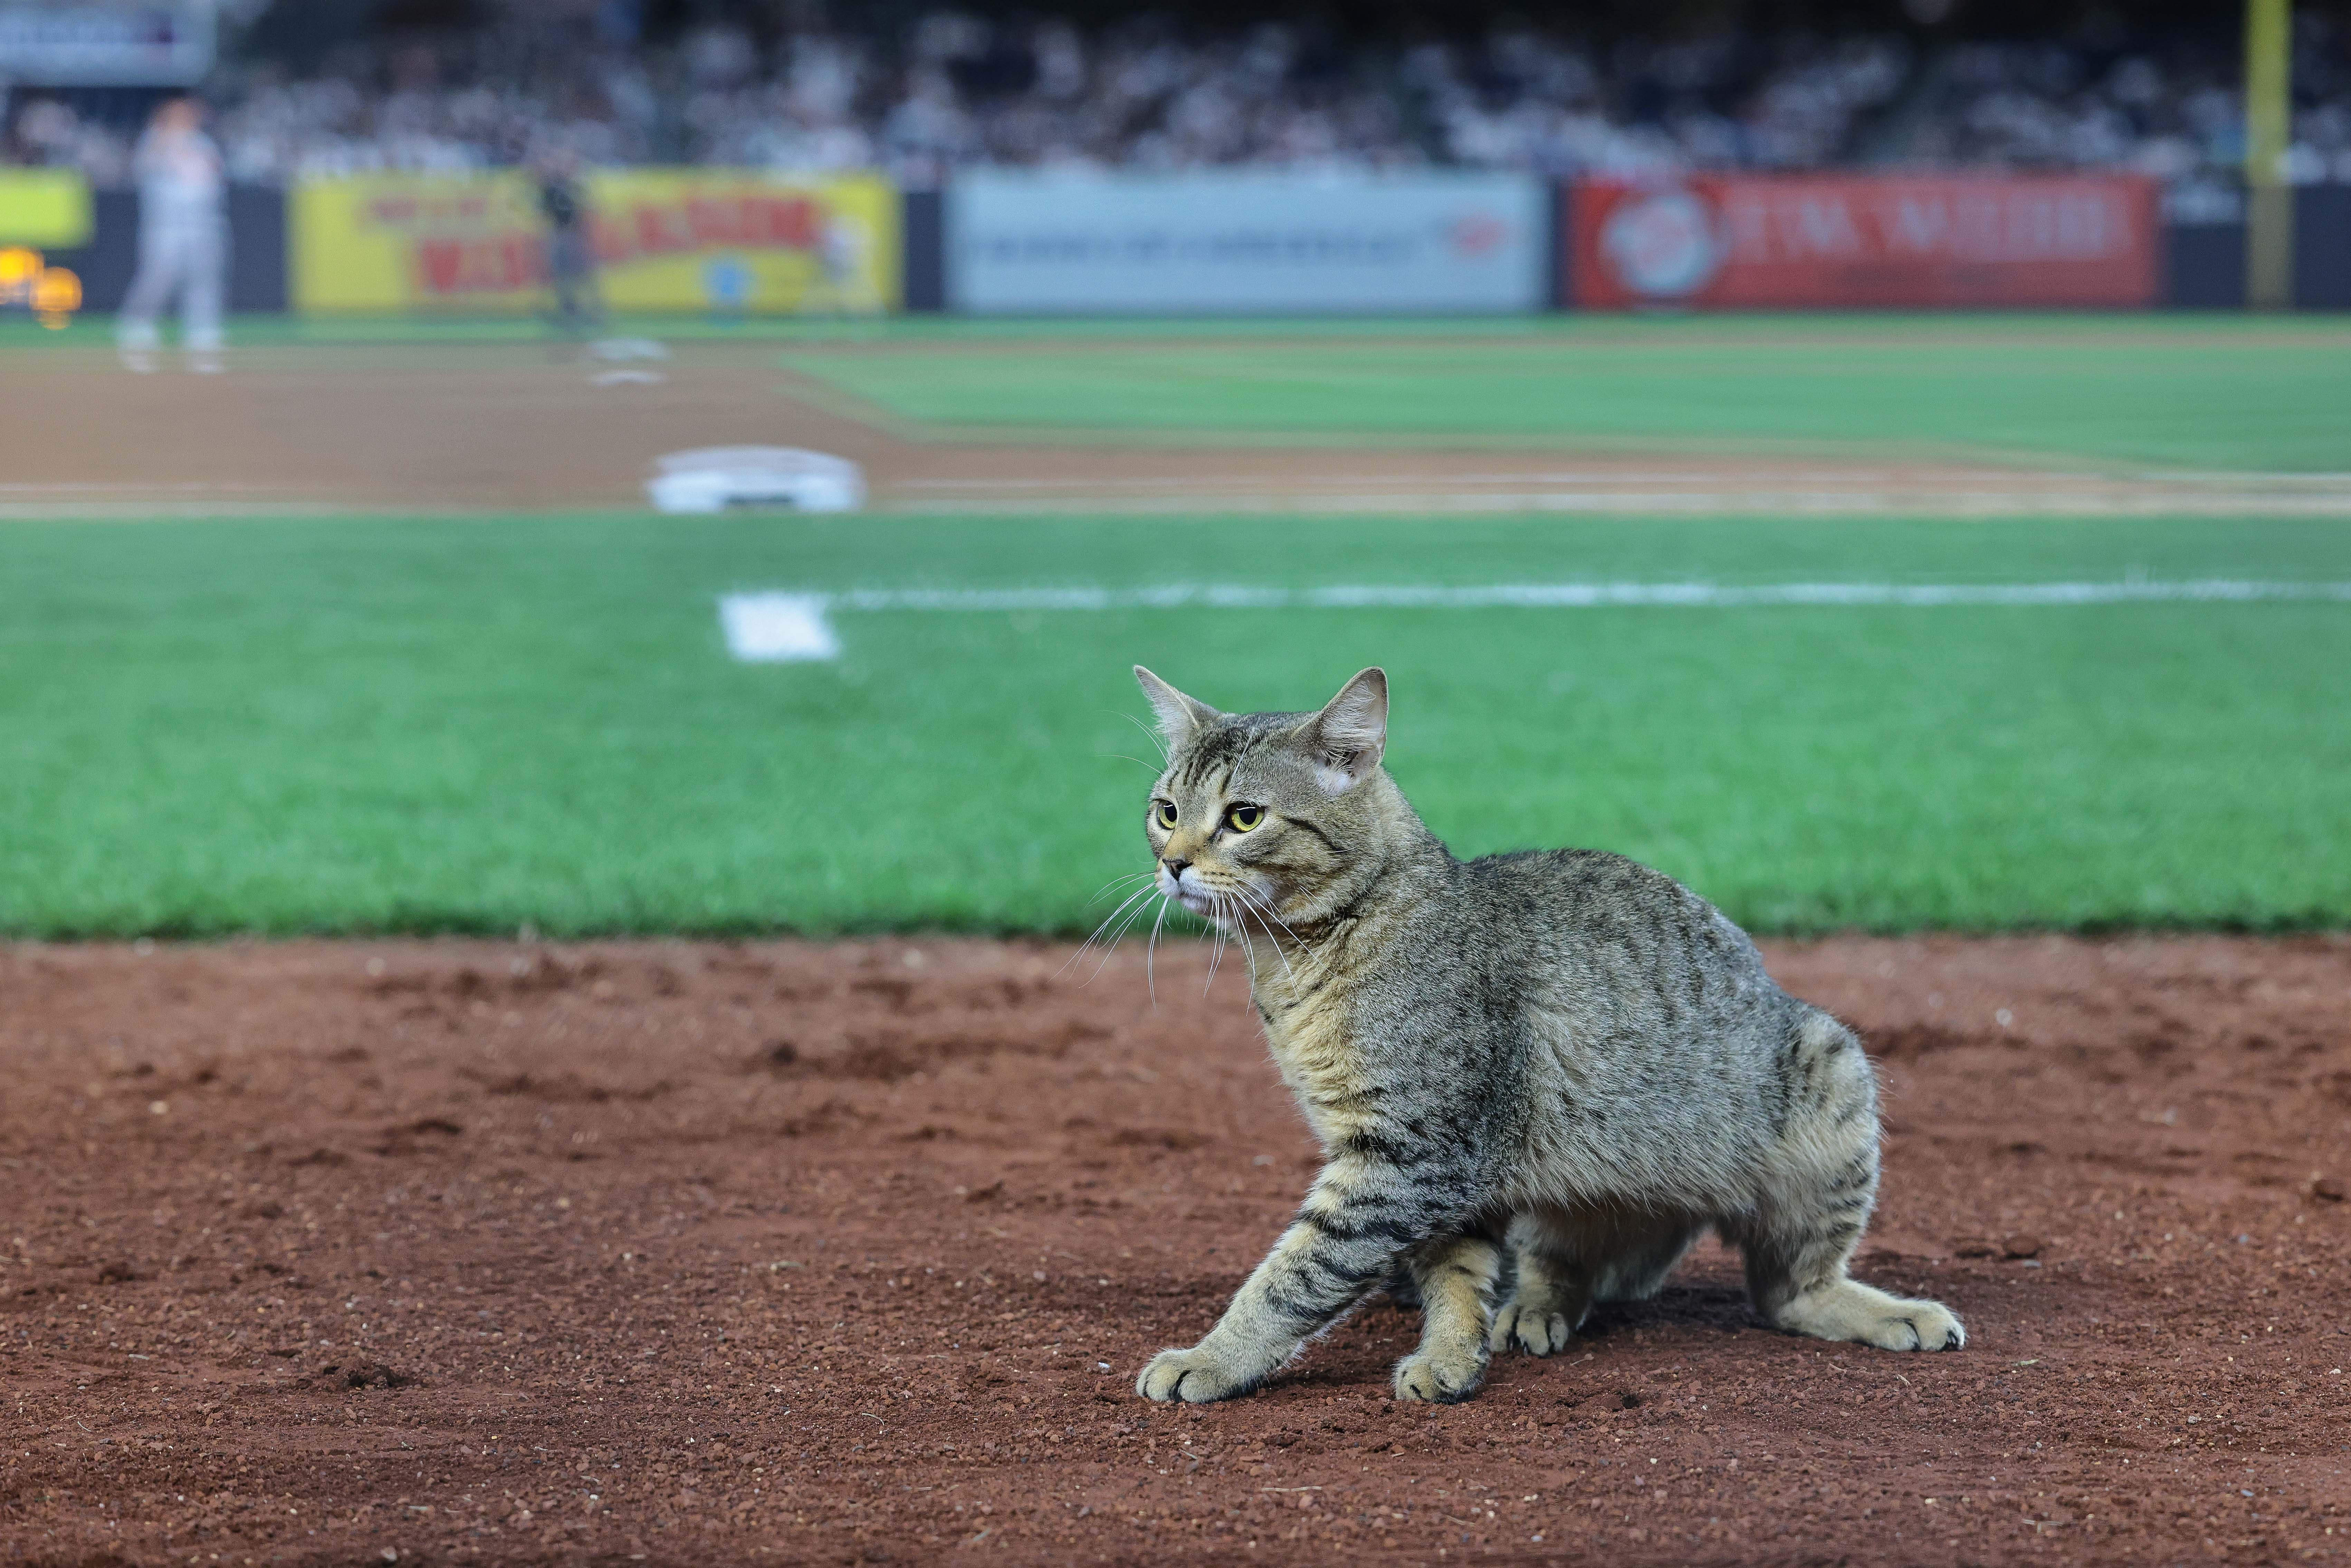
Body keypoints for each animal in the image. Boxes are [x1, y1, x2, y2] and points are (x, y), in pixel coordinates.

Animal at [1128, 667, 1956, 1410]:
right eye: (1165, 811)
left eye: (1244, 817)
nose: (1171, 863)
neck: (1300, 958)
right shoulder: (1444, 1168)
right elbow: (1455, 1275)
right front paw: (1452, 1353)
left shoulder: (1414, 1152)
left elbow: (1297, 1273)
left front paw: (1213, 1357)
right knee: (1566, 1266)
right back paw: (1535, 1304)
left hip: (1833, 1073)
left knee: (1787, 1293)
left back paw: (1888, 1310)